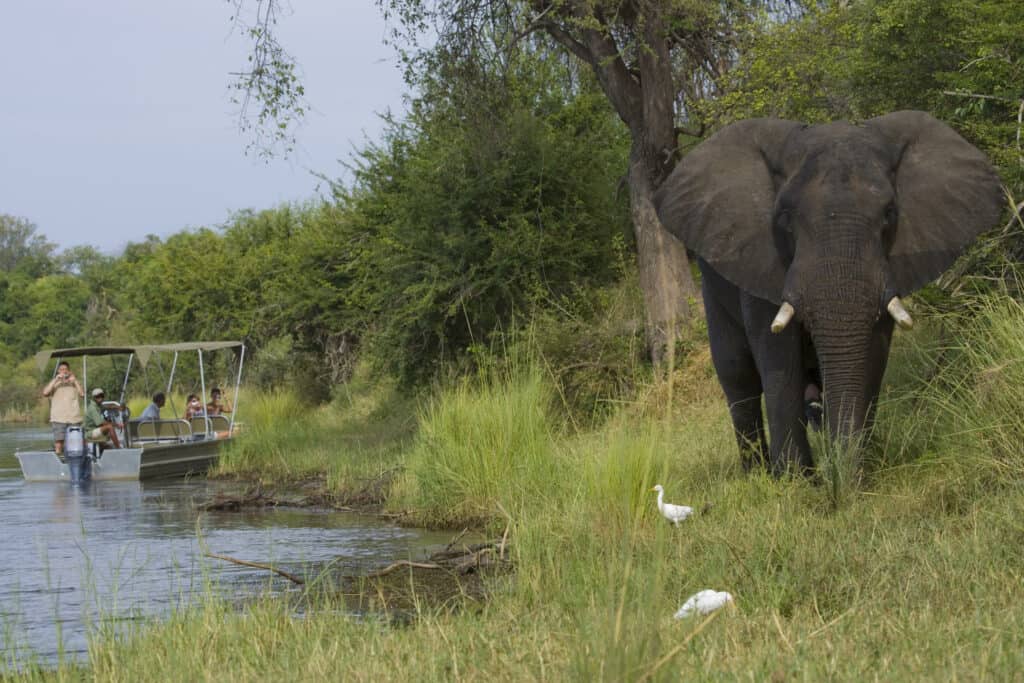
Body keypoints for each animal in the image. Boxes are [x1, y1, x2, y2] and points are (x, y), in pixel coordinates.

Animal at [655, 112, 999, 475]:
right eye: (784, 217)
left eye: (890, 213)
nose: (840, 480)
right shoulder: (762, 257)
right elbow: (778, 357)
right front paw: (797, 480)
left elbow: (872, 355)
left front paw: (860, 467)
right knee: (738, 375)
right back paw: (755, 473)